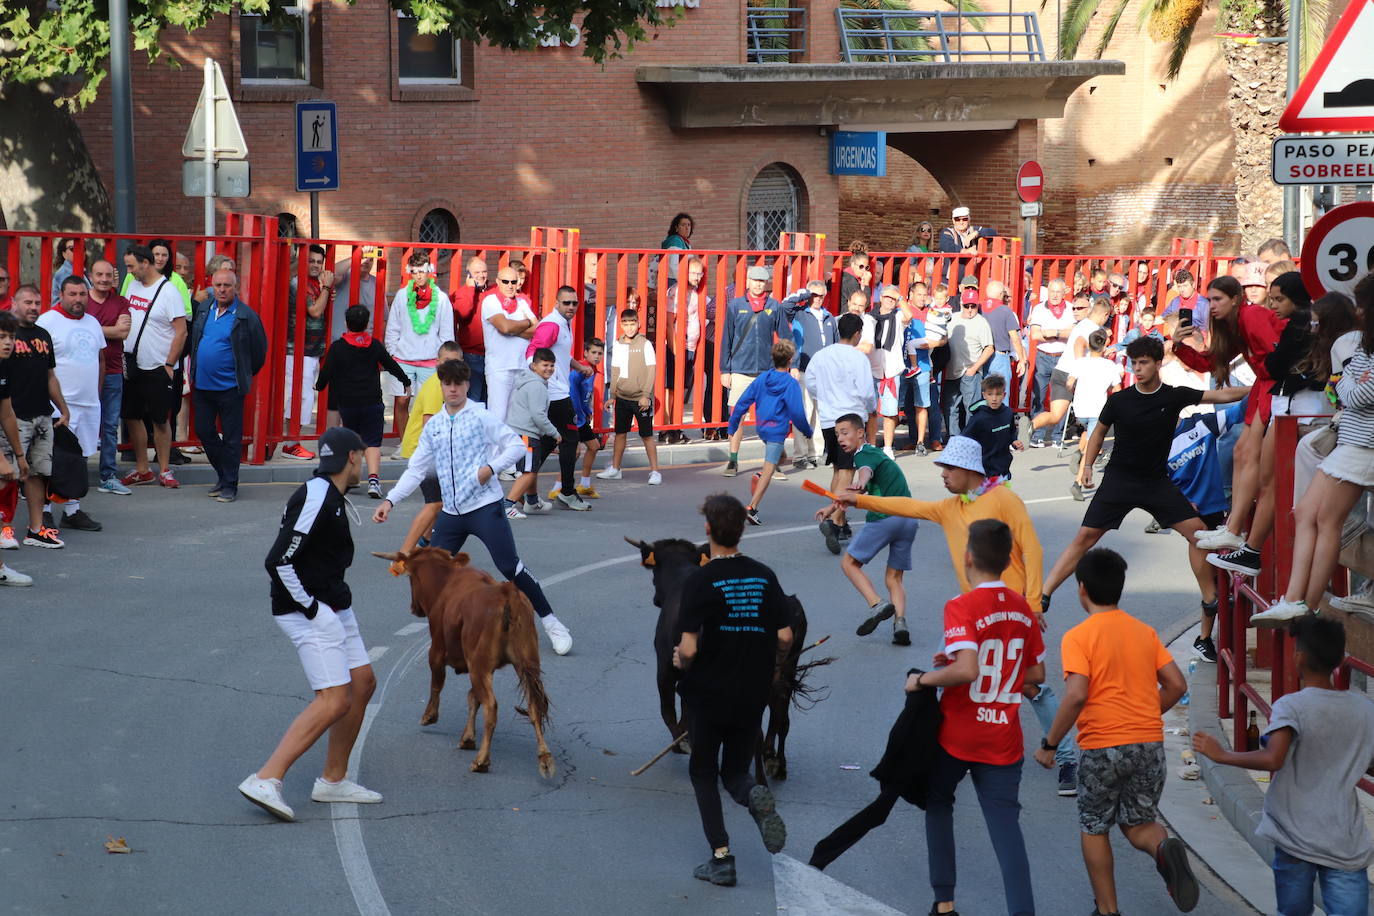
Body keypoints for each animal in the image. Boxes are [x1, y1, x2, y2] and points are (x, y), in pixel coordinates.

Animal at [376, 549, 552, 780]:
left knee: (491, 707)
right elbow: (472, 698)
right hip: (526, 662)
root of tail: (507, 593)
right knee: (534, 703)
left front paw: (429, 716)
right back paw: (544, 757)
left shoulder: (437, 650)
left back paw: (481, 761)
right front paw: (468, 737)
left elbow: (438, 685)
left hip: (480, 666)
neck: (446, 582)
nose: (414, 608)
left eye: (411, 578)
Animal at [626, 538, 835, 780]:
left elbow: (668, 710)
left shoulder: (666, 668)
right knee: (781, 714)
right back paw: (776, 763)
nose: (656, 599)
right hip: (784, 668)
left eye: (653, 572)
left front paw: (682, 744)